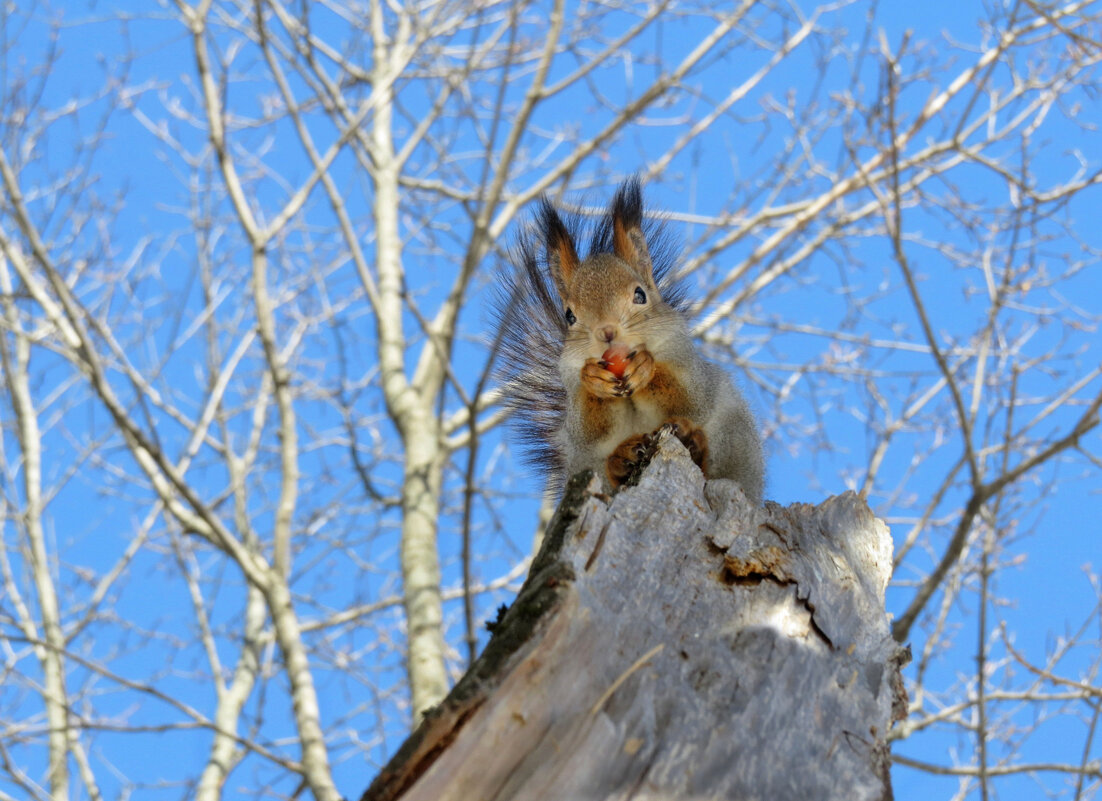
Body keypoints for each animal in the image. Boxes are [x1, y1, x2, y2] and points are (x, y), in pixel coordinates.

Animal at [495, 180, 762, 504]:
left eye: (639, 295)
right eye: (569, 315)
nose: (606, 332)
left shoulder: (691, 367)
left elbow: (690, 399)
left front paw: (646, 368)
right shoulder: (572, 392)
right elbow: (588, 430)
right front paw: (594, 380)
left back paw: (693, 443)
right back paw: (622, 460)